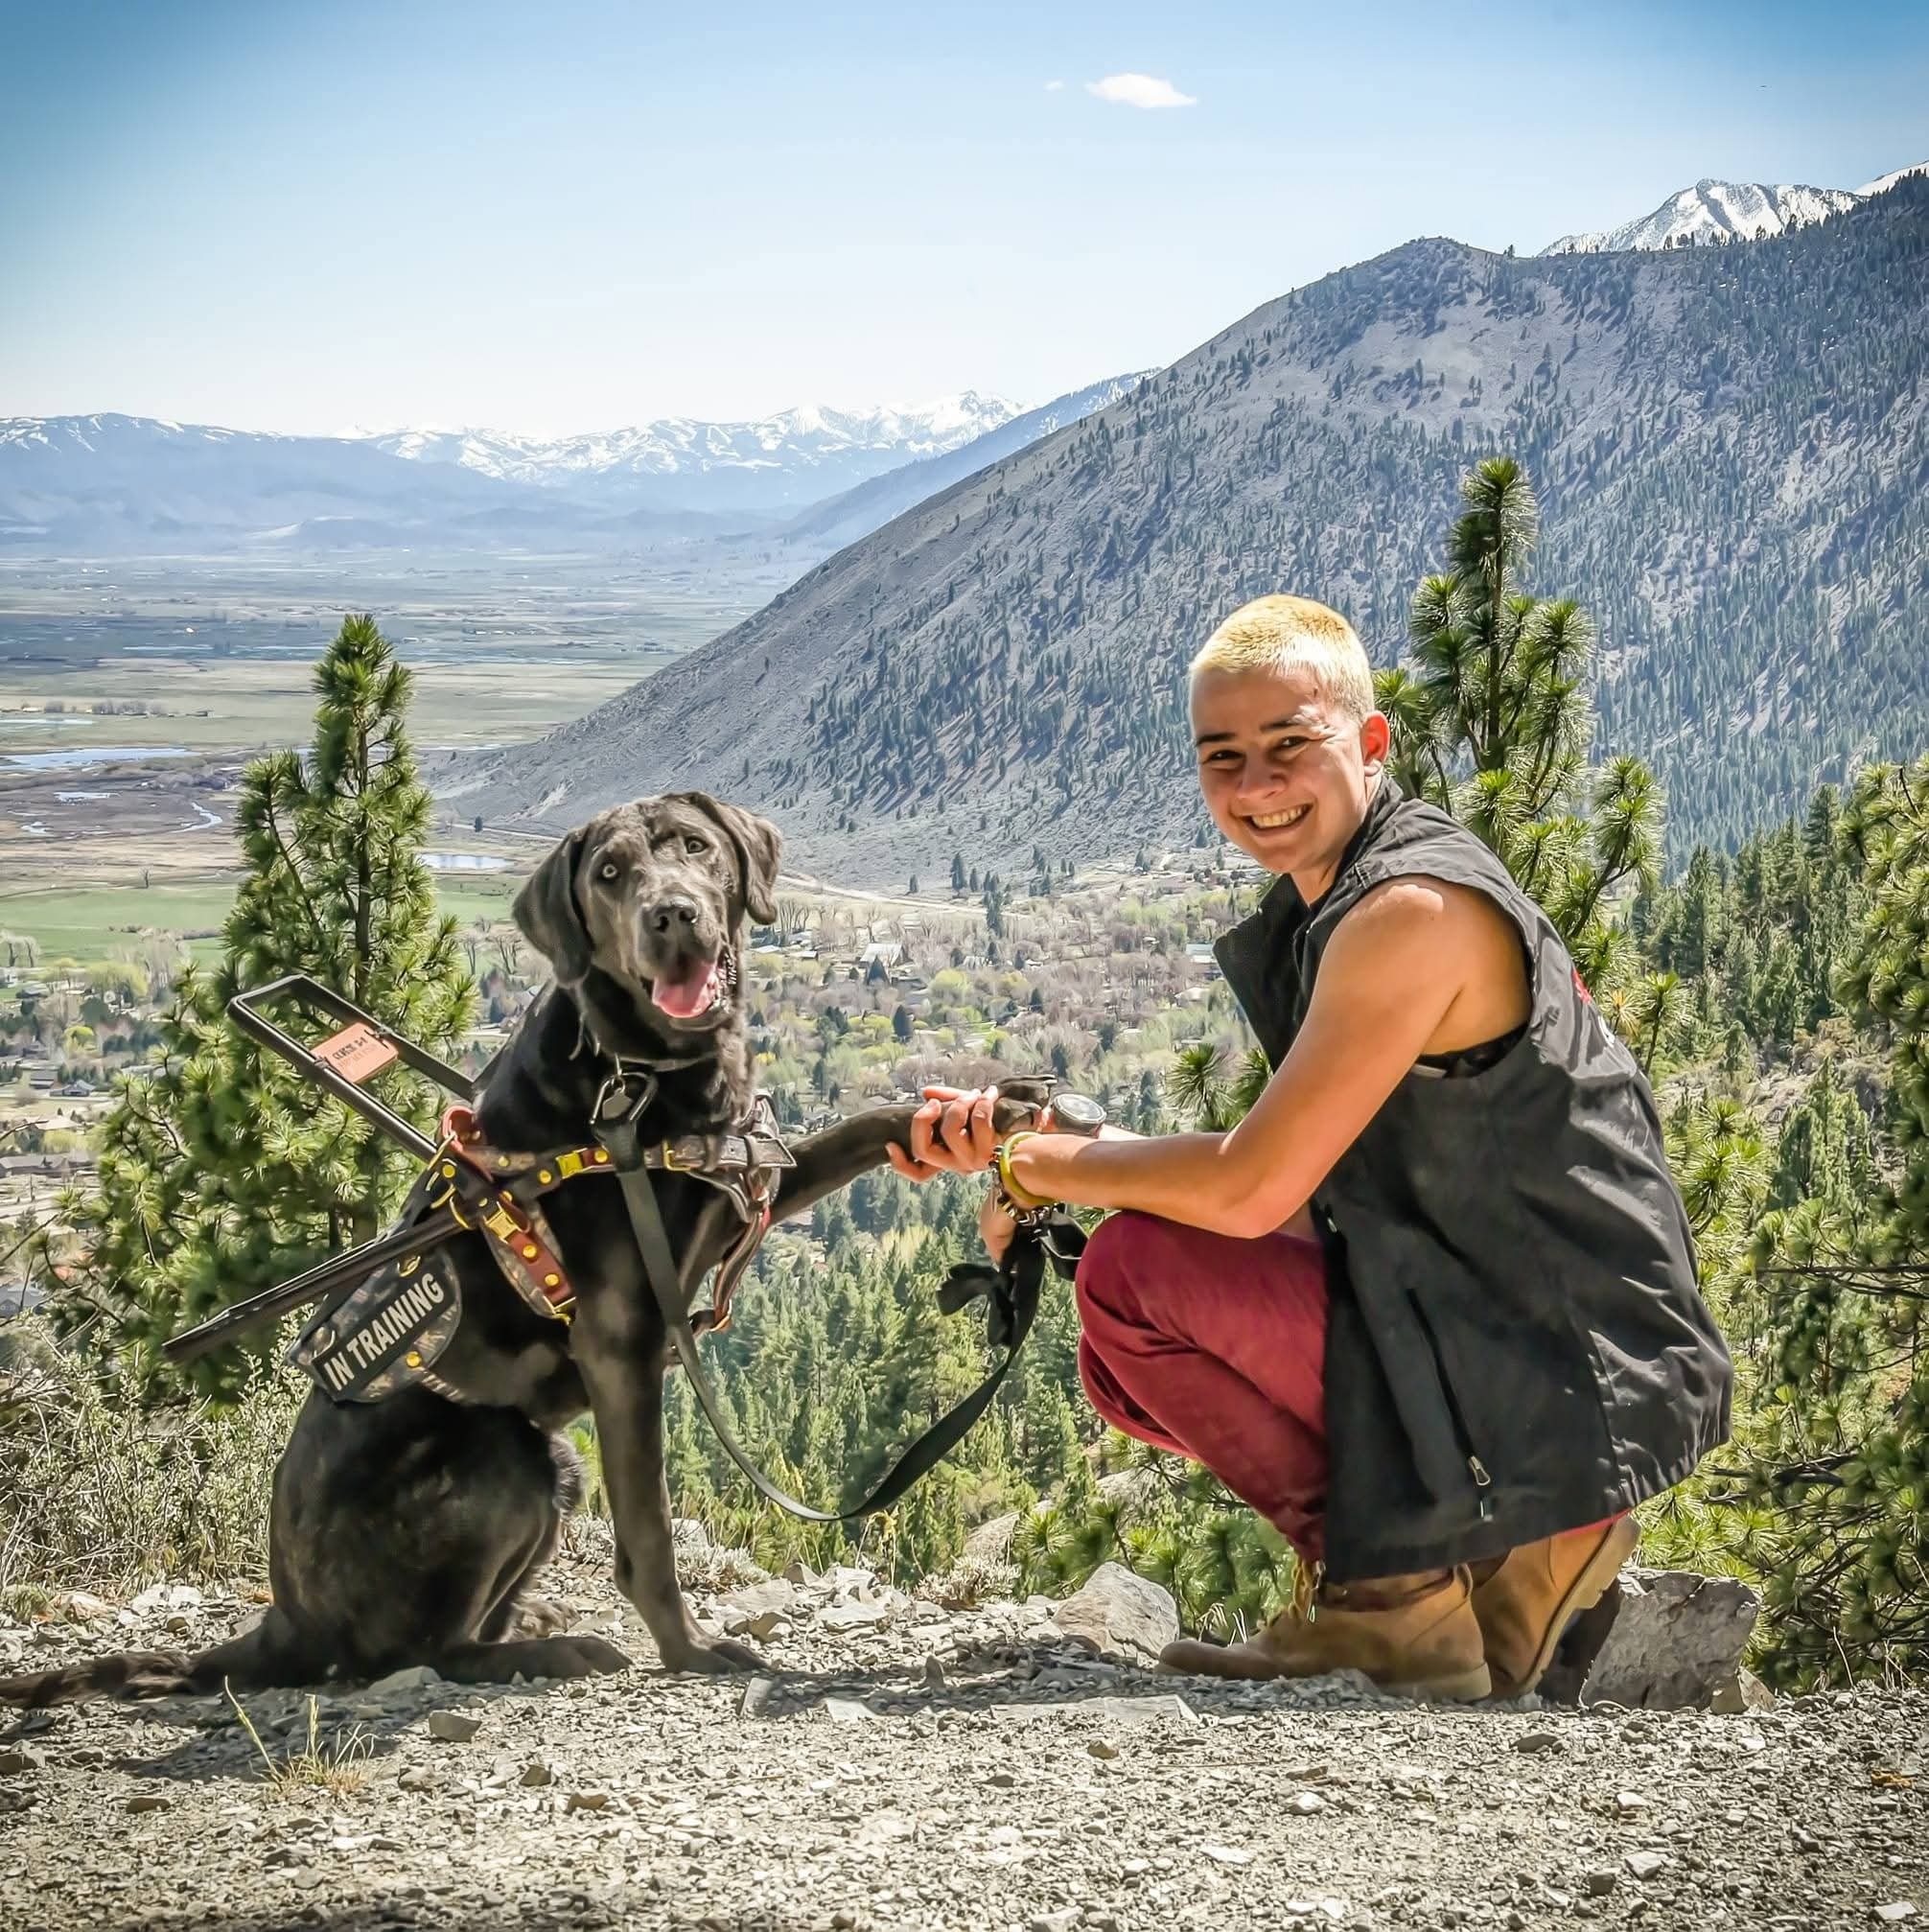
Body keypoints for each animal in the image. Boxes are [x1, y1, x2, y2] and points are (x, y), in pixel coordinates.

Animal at [2, 793, 1044, 1704]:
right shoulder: (622, 1340)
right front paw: (691, 1649)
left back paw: (531, 1620)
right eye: (612, 874)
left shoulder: (745, 1176)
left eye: (696, 848)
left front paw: (982, 1113)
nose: (671, 914)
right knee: (406, 1652)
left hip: (551, 1466)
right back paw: (546, 1650)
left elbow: (863, 1125)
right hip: (507, 1457)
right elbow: (651, 1535)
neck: (639, 1077)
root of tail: (281, 1618)